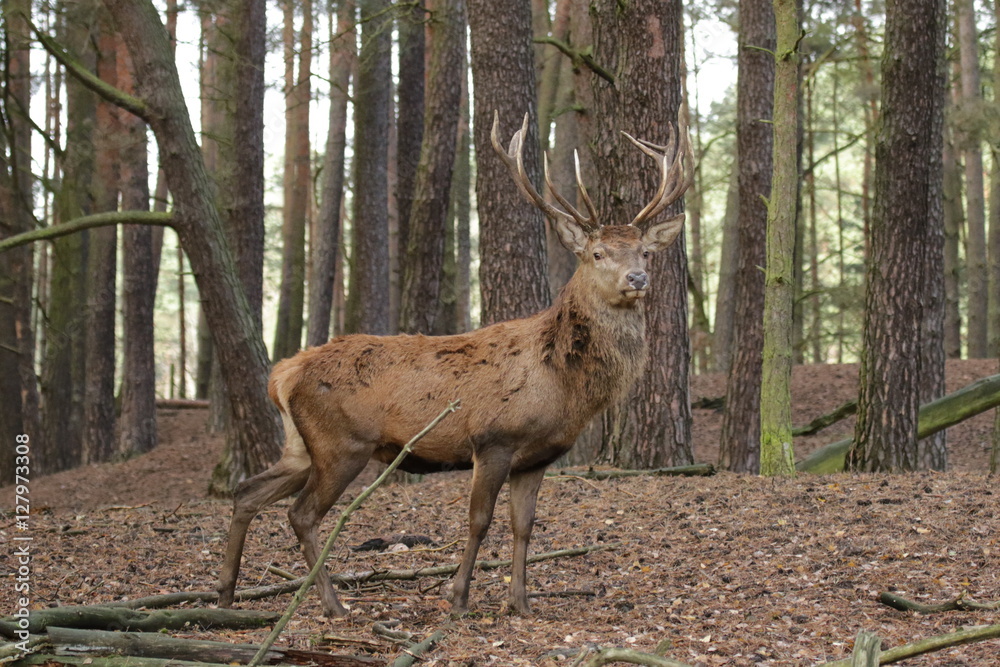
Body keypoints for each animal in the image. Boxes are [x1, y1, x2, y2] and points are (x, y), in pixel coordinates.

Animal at [216, 111, 692, 617]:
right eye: (598, 253)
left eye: (645, 252)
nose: (637, 278)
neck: (564, 386)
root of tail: (283, 374)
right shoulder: (493, 439)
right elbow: (479, 520)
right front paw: (458, 597)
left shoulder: (538, 456)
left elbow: (524, 526)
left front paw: (520, 603)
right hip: (341, 444)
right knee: (301, 513)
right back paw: (333, 604)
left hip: (300, 446)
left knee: (247, 492)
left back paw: (226, 594)